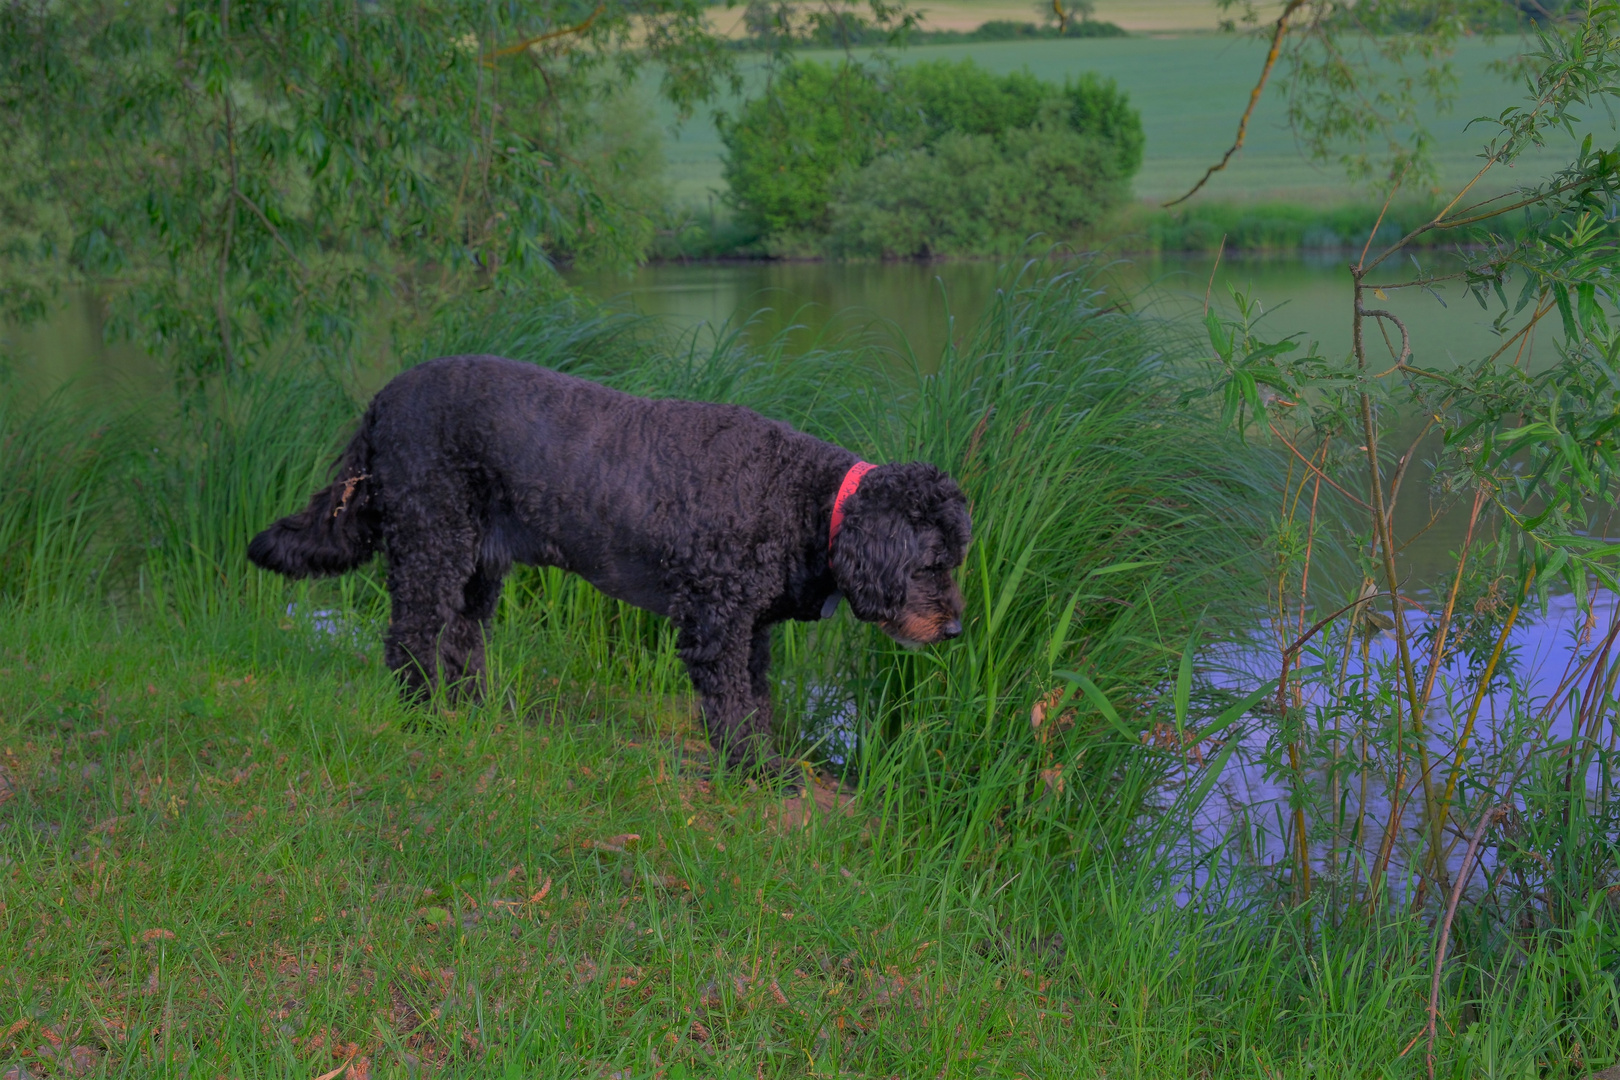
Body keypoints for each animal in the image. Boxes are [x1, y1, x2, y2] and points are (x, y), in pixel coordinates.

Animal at [246, 359, 965, 773]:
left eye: (959, 556)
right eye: (932, 562)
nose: (957, 629)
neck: (806, 500)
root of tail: (382, 400)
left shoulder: (751, 632)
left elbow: (758, 703)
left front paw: (764, 760)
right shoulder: (716, 627)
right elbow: (733, 709)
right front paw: (756, 771)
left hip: (477, 562)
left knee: (460, 638)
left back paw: (478, 710)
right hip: (432, 539)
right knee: (411, 637)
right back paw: (424, 713)